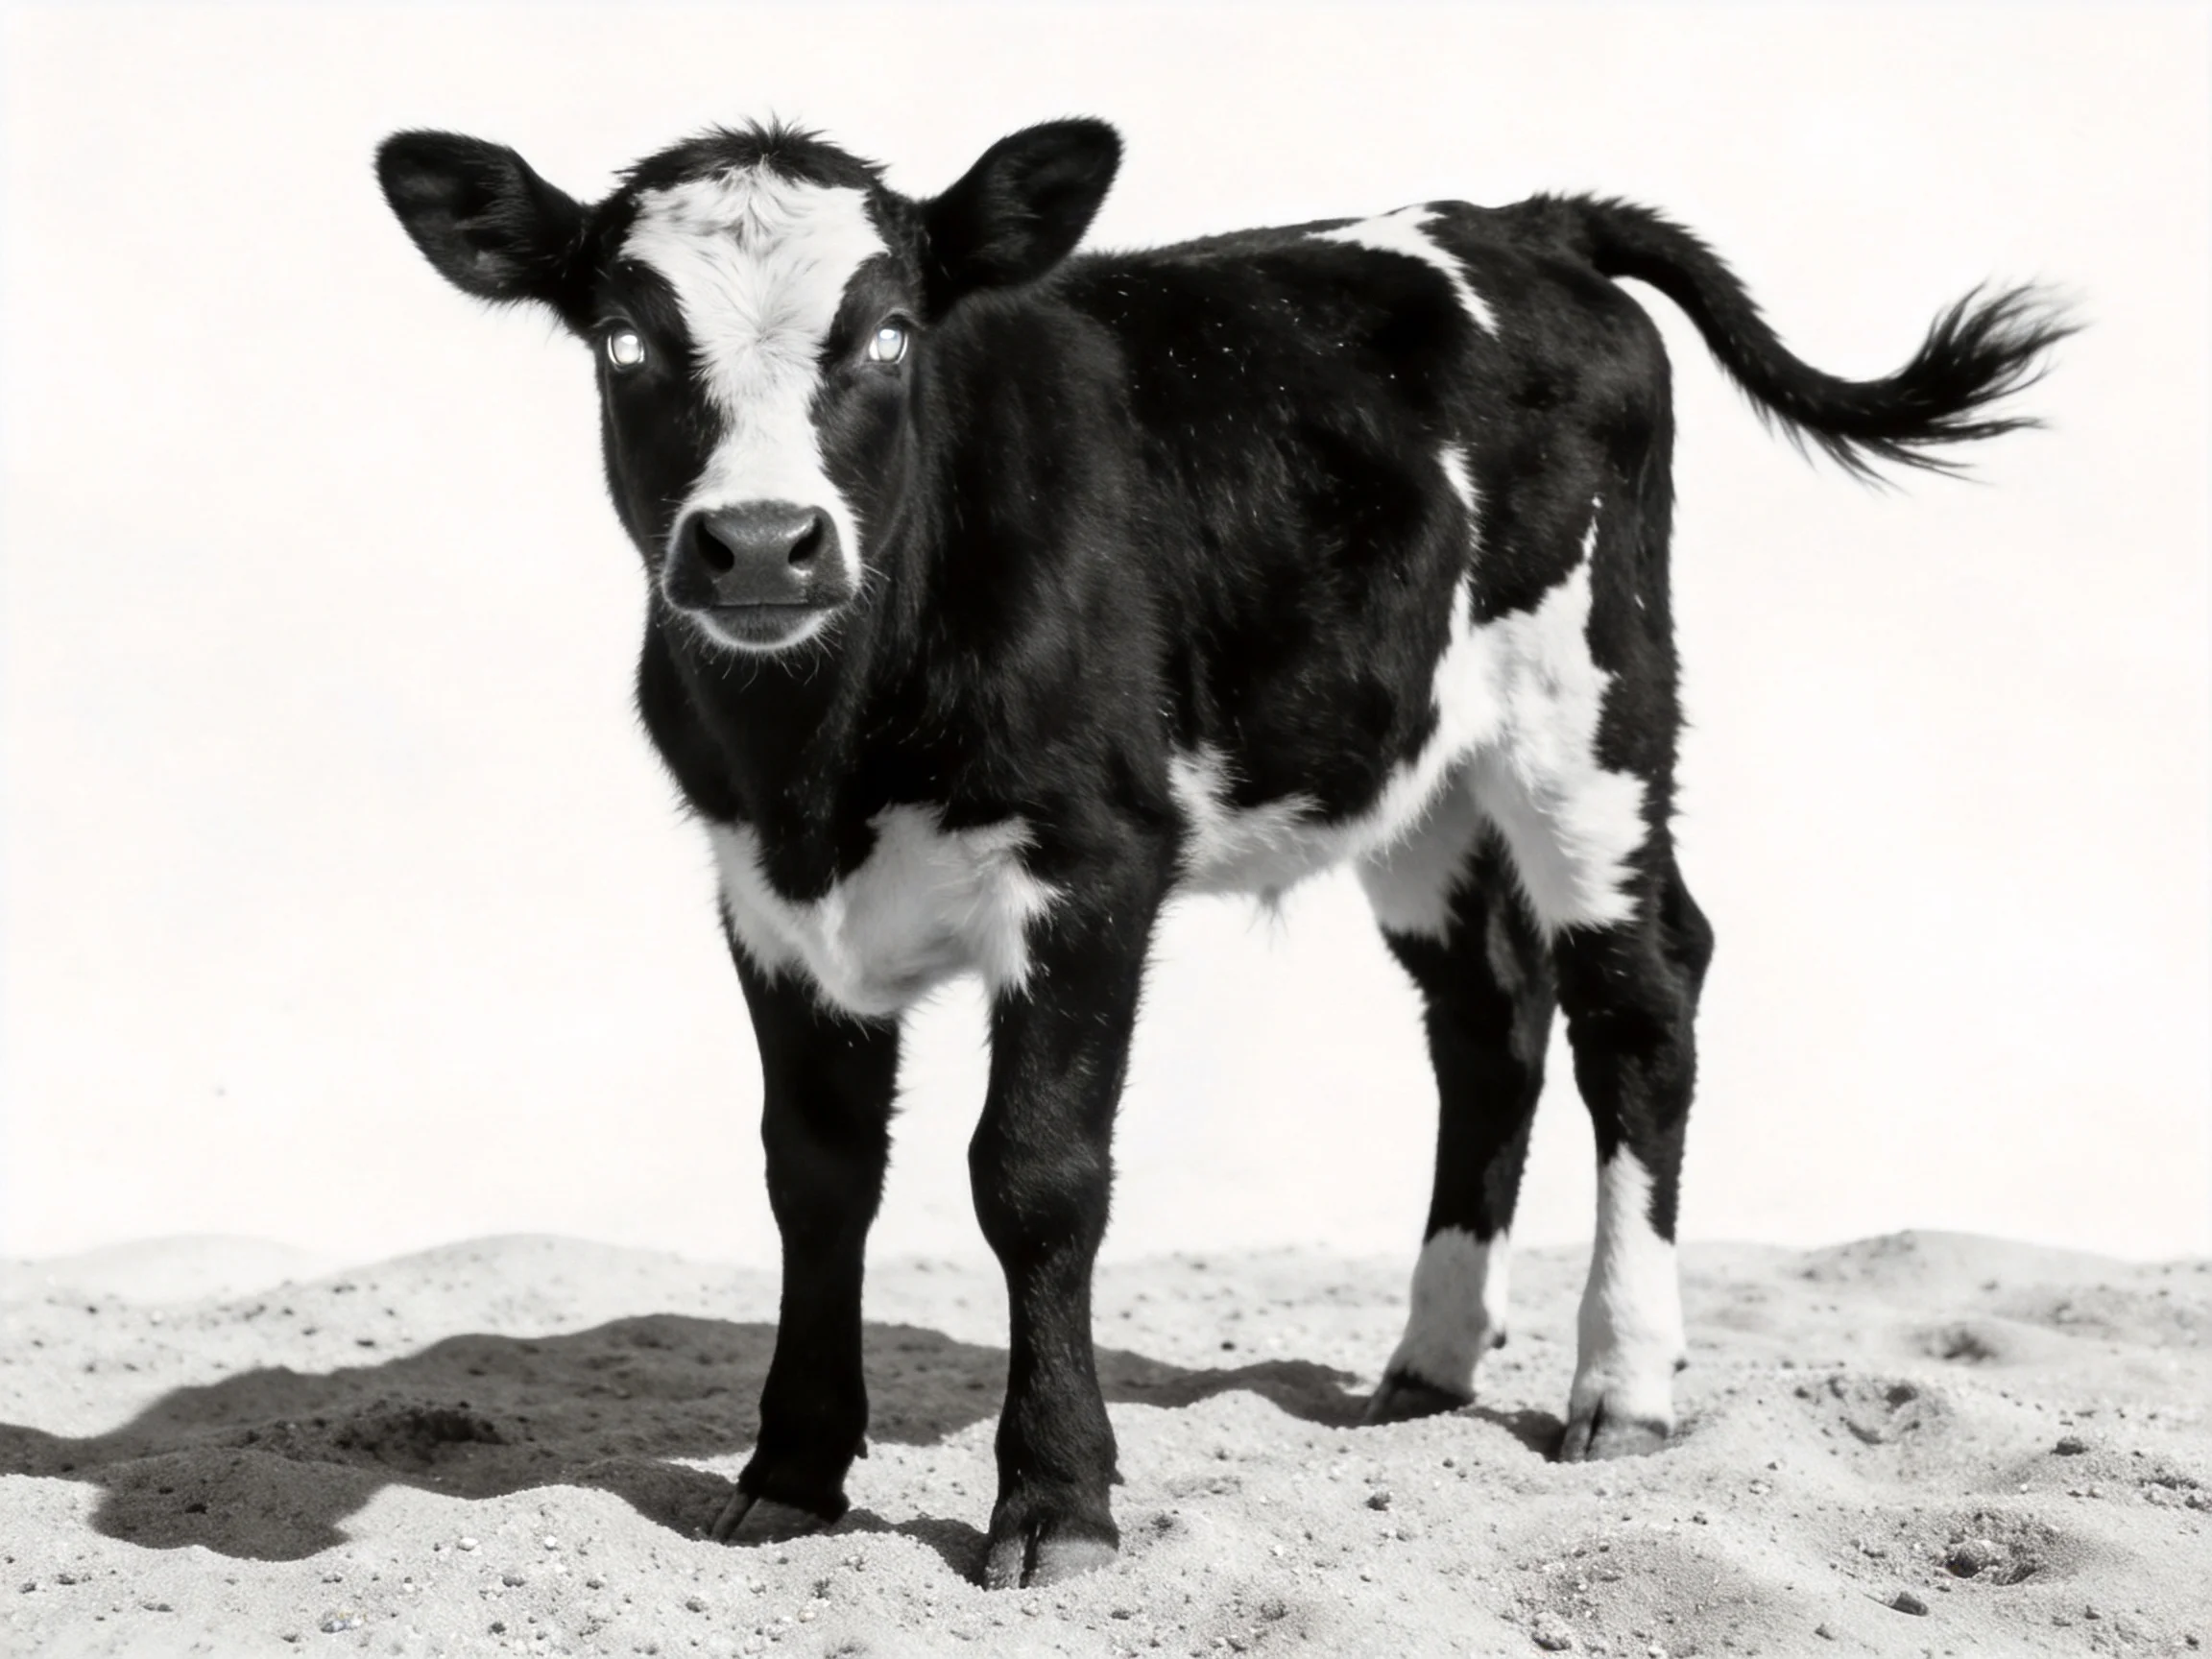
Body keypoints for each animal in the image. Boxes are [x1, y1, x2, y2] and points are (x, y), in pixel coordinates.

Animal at [376, 117, 2067, 1587]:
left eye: (891, 335)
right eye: (624, 341)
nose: (761, 545)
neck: (824, 753)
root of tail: (1522, 224)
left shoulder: (1095, 865)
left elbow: (1036, 1177)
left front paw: (1056, 1504)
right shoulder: (764, 897)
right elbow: (815, 1176)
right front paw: (789, 1474)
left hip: (1589, 706)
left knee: (1640, 996)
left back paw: (1622, 1386)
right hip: (1408, 772)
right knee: (1487, 1018)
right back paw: (1427, 1364)